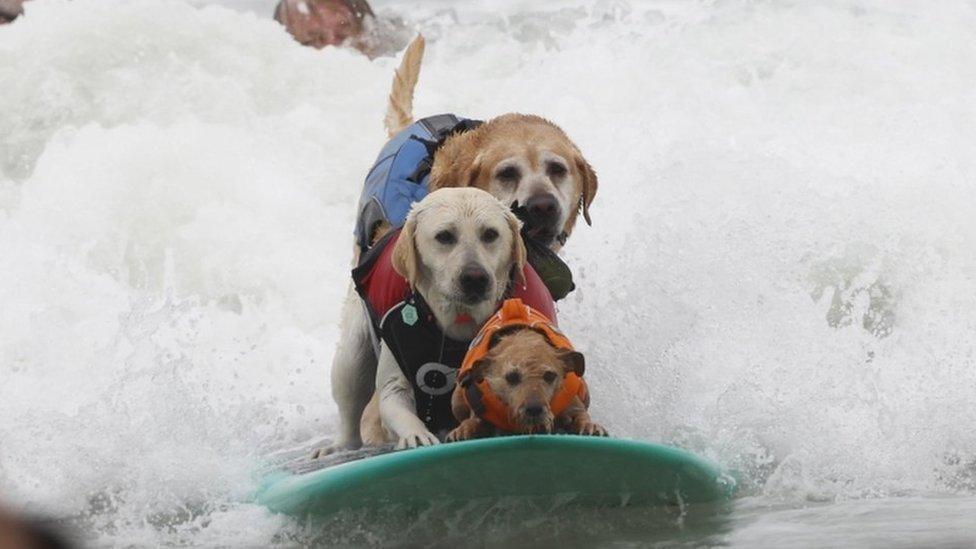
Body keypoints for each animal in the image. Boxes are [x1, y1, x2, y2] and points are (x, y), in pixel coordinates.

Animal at [446, 298, 608, 438]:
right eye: (511, 377)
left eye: (550, 375)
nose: (534, 409)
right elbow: (473, 421)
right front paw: (464, 429)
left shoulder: (573, 404)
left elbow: (581, 415)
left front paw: (589, 426)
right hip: (457, 399)